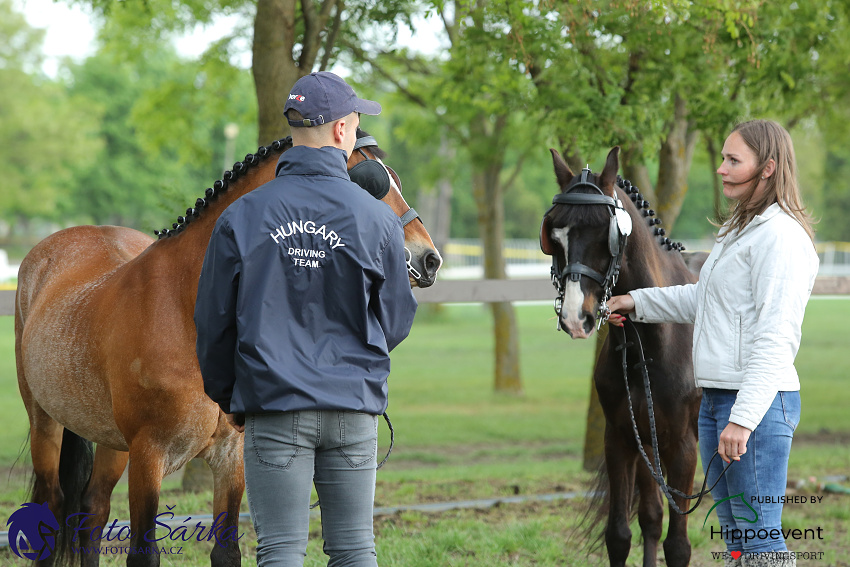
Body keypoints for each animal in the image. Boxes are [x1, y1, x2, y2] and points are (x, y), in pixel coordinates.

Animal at [14, 131, 444, 564]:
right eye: (368, 184)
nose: (429, 260)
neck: (183, 305)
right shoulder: (148, 455)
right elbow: (144, 553)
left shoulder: (231, 454)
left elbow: (226, 551)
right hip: (45, 422)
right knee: (52, 506)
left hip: (111, 440)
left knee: (93, 509)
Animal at [540, 148, 700, 567]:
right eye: (554, 235)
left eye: (605, 234)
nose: (575, 317)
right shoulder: (622, 439)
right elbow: (622, 534)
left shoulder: (683, 447)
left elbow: (678, 545)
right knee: (651, 516)